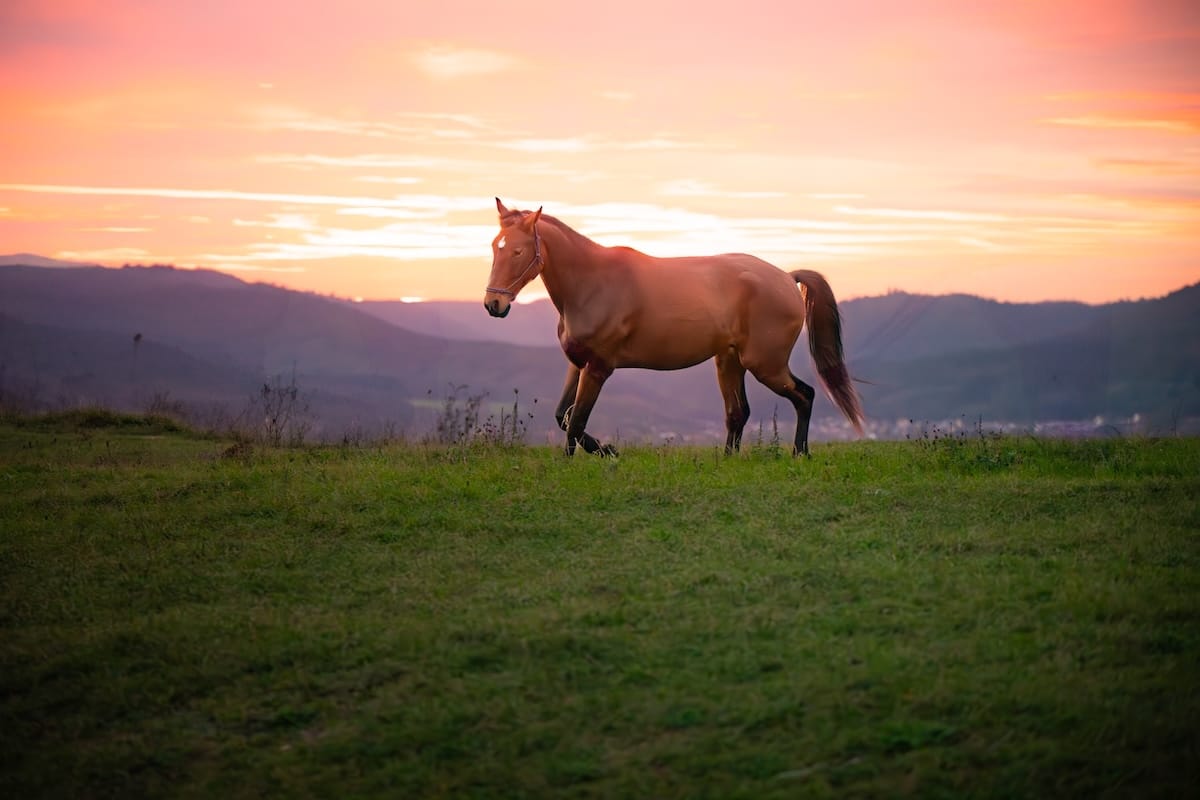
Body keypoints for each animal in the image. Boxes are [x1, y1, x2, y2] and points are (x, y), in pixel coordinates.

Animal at [484, 198, 865, 456]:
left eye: (517, 251)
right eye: (494, 246)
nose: (493, 305)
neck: (592, 283)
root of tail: (787, 277)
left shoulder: (599, 368)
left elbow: (576, 422)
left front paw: (603, 454)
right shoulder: (577, 364)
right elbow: (563, 416)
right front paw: (605, 450)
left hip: (765, 365)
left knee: (804, 395)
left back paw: (800, 453)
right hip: (729, 362)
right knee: (737, 413)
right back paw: (729, 460)